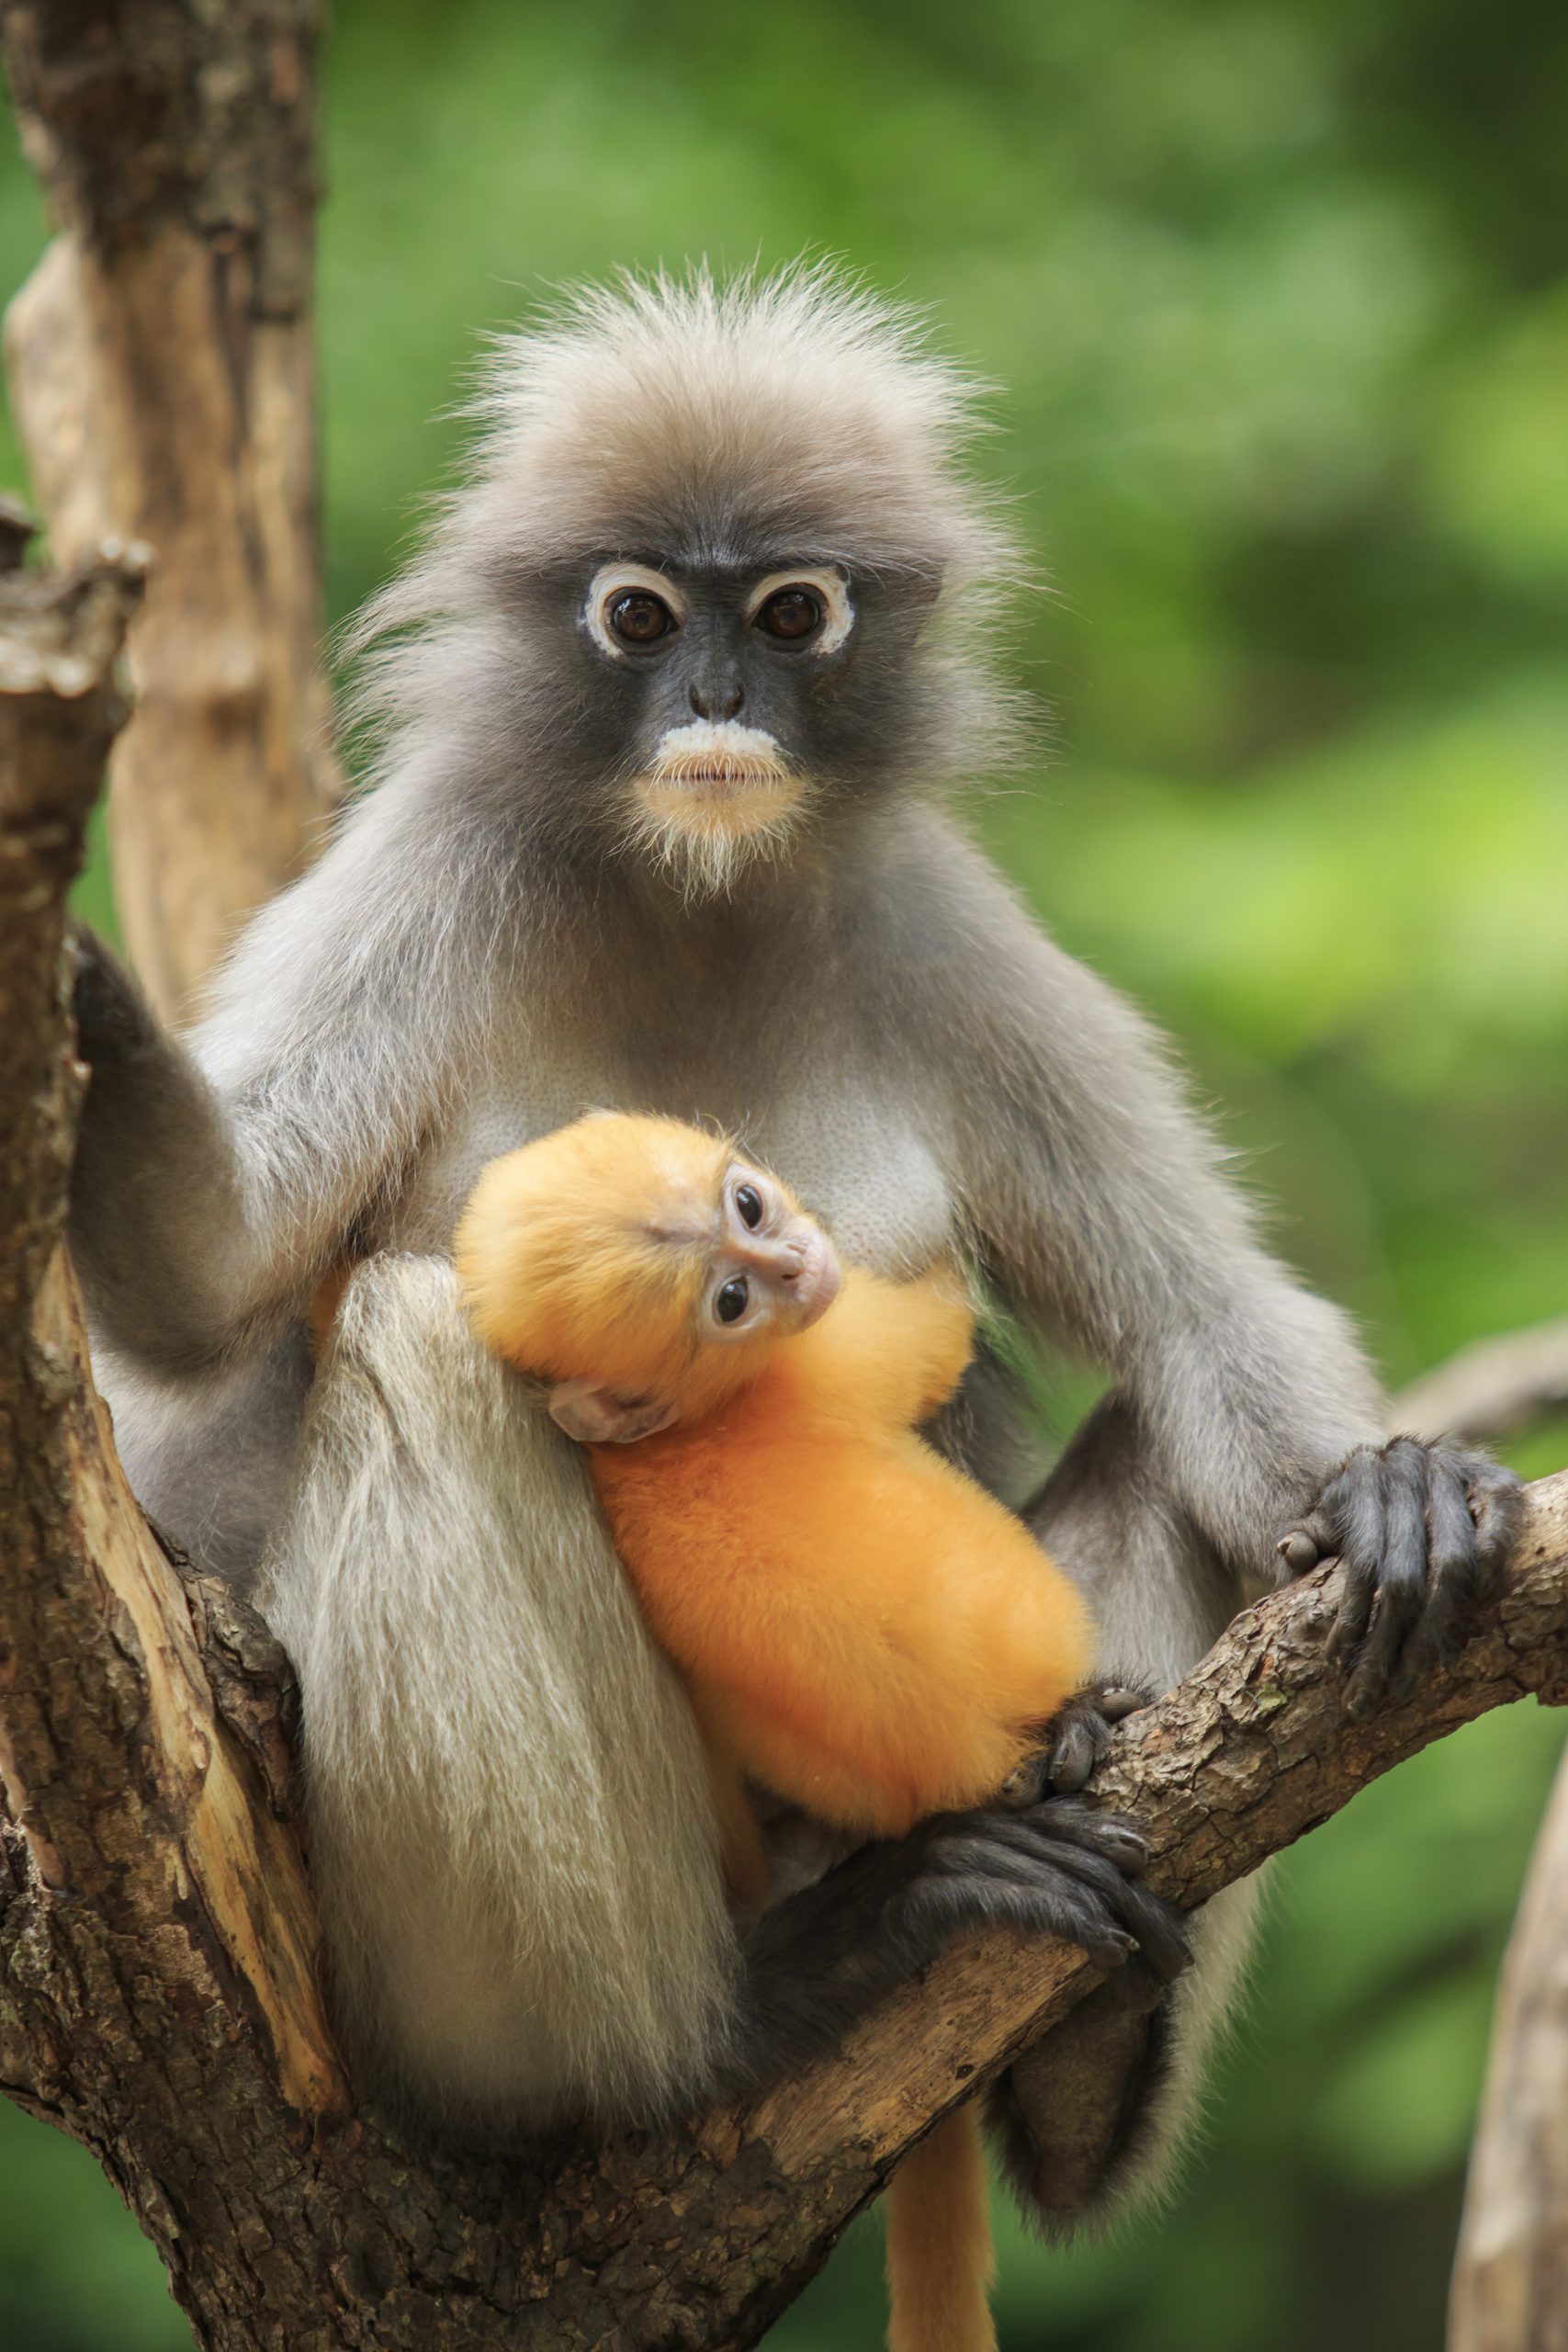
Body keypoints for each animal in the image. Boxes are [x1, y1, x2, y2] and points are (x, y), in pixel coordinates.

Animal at [64, 270, 1523, 2220]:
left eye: (788, 610)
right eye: (635, 612)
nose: (714, 691)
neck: (698, 887)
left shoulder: (933, 921)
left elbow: (1200, 1313)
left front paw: (1381, 1488)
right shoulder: (436, 867)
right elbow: (202, 1291)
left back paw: (1075, 2048)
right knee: (413, 1338)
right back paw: (731, 2022)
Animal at [453, 1110, 1104, 2352]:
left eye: (745, 1208)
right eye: (729, 1302)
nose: (797, 1262)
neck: (651, 1443)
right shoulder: (822, 1359)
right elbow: (929, 1341)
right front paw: (953, 1277)